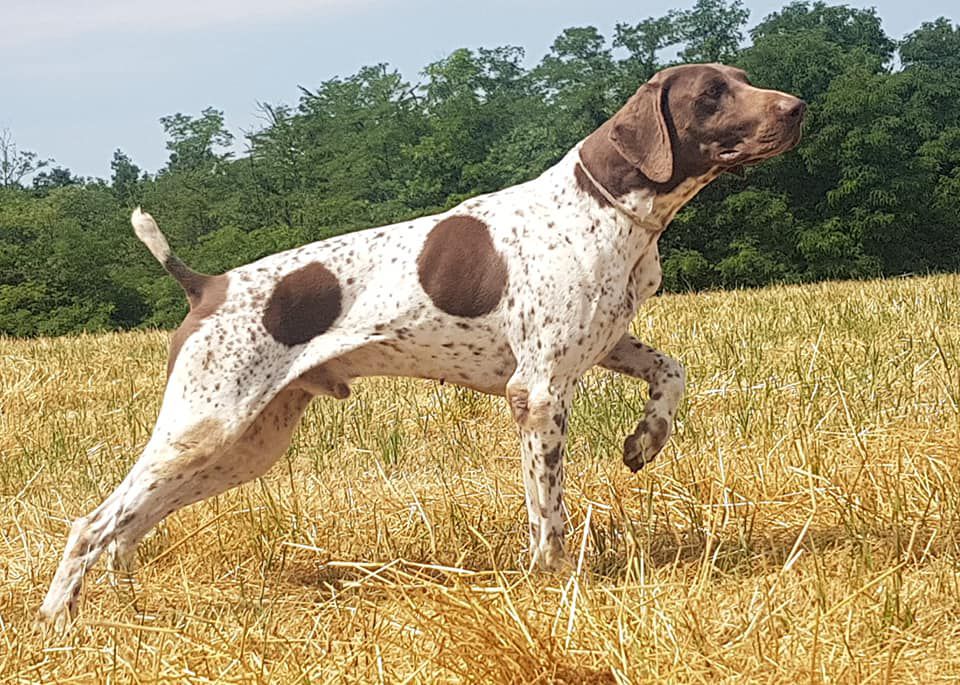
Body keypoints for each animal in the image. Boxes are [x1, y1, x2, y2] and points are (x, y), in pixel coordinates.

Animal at [35, 64, 804, 632]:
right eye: (712, 94)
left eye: (742, 79)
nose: (798, 107)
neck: (609, 208)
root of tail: (205, 284)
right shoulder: (539, 390)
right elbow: (547, 509)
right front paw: (552, 579)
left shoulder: (600, 347)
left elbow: (672, 372)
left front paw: (646, 440)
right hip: (205, 424)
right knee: (92, 524)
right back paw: (57, 620)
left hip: (245, 444)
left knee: (129, 524)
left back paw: (128, 606)